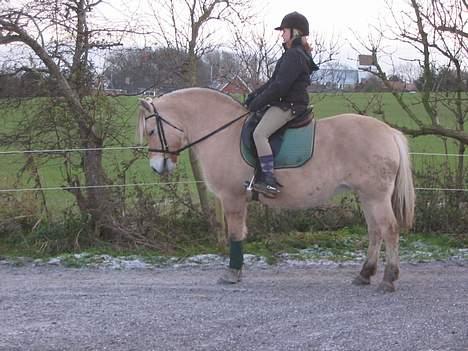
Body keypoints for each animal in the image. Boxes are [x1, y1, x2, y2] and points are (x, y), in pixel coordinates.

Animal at [137, 87, 414, 292]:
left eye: (151, 131)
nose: (156, 167)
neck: (223, 132)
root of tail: (388, 131)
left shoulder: (232, 198)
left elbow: (235, 235)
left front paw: (232, 273)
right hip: (366, 196)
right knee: (375, 231)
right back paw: (365, 274)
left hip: (376, 196)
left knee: (389, 229)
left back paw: (388, 279)